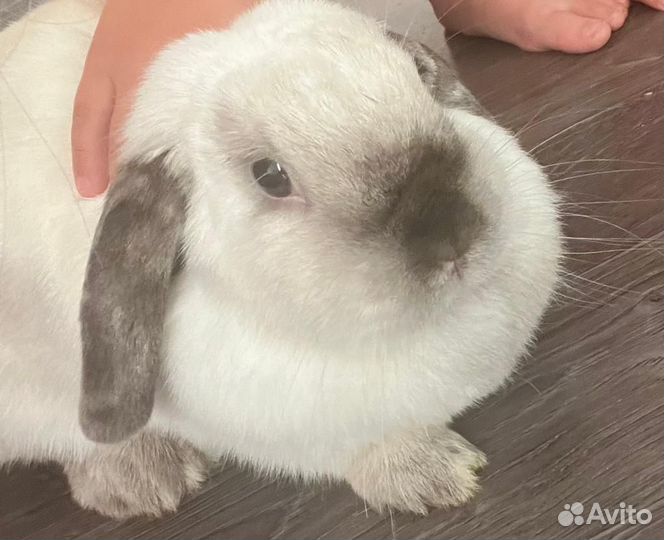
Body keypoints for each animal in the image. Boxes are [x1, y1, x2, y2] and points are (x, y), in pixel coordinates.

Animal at [0, 0, 562, 519]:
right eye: (270, 176)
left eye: (422, 80)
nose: (453, 234)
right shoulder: (300, 437)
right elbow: (369, 449)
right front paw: (436, 474)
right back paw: (146, 480)